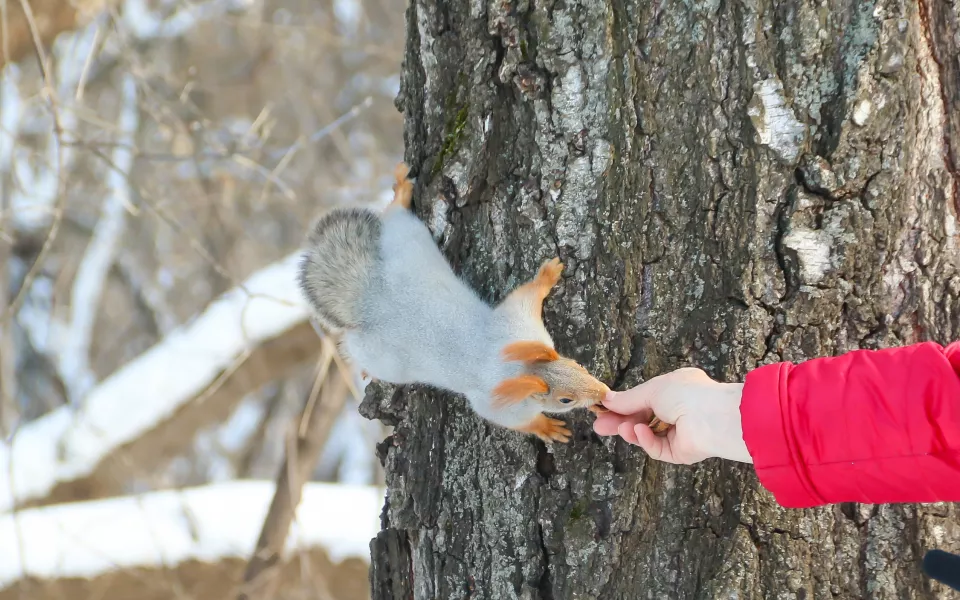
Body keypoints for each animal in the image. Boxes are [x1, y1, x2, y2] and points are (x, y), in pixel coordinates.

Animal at [300, 162, 668, 442]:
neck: (520, 367)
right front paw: (547, 428)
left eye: (578, 365)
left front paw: (548, 275)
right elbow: (515, 420)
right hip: (384, 357)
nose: (602, 392)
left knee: (397, 220)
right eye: (565, 399)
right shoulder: (498, 402)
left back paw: (402, 192)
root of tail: (373, 298)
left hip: (409, 246)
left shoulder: (521, 325)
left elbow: (525, 295)